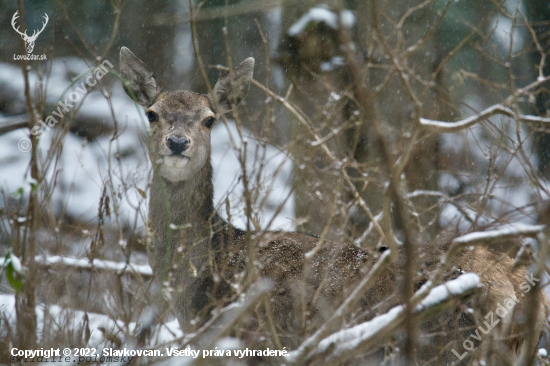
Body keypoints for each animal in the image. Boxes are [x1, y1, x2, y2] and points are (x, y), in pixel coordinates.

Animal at [122, 47, 550, 364]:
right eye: (152, 113)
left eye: (210, 119)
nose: (178, 142)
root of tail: (520, 289)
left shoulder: (256, 343)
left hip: (444, 348)